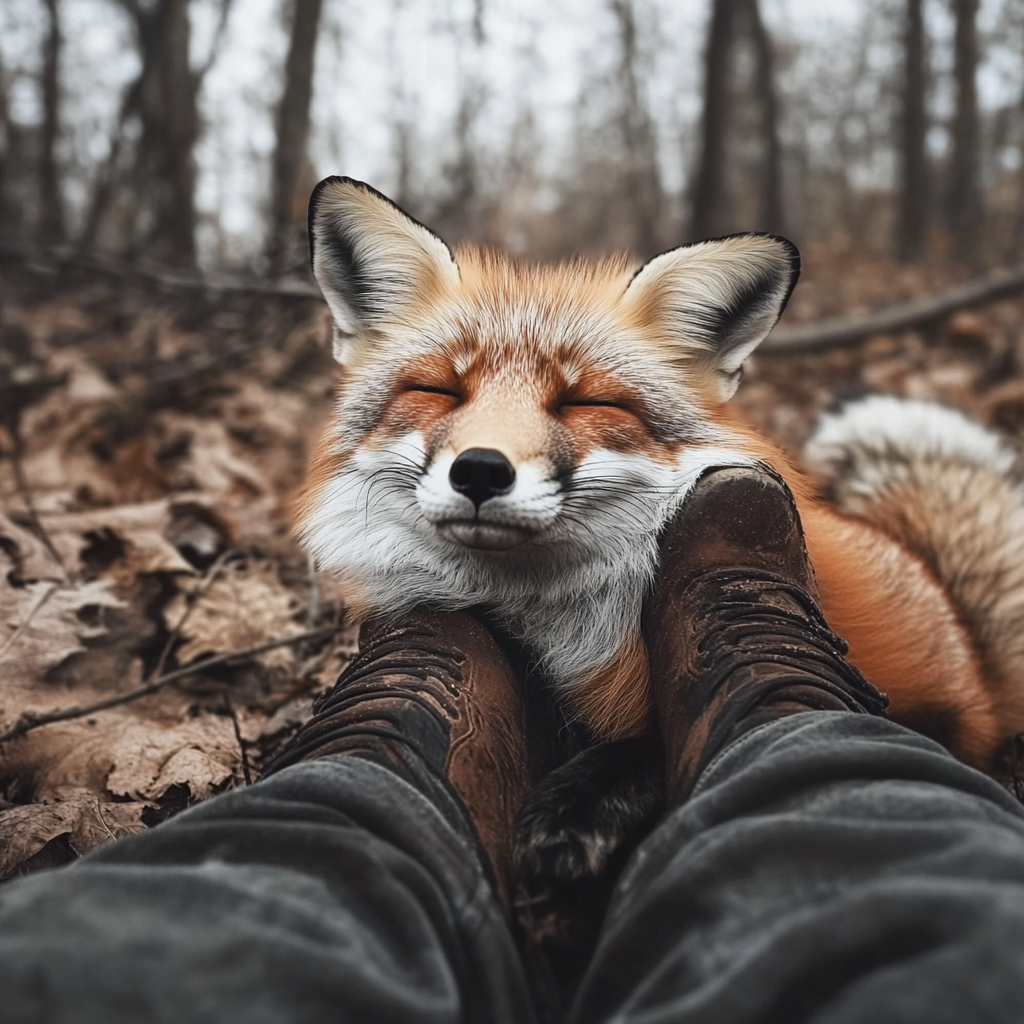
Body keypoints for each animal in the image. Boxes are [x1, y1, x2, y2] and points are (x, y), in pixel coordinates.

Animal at [299, 172, 1024, 937]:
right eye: (437, 390)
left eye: (584, 402)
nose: (481, 472)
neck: (550, 625)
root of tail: (965, 635)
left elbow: (650, 749)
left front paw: (575, 811)